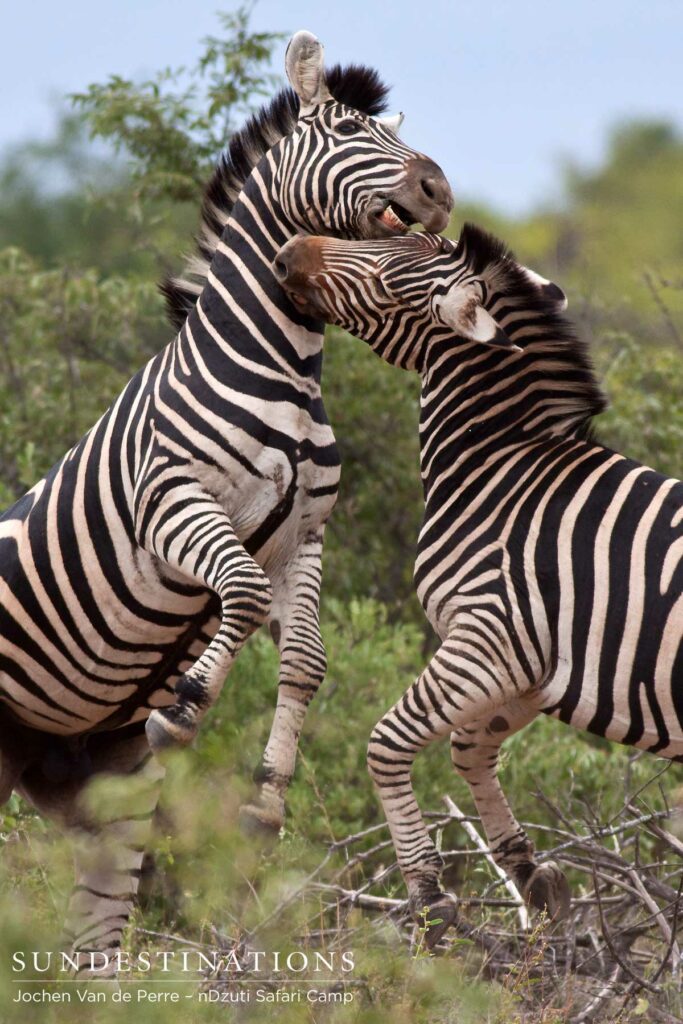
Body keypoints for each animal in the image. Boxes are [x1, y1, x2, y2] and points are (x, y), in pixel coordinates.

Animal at [0, 31, 452, 973]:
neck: (284, 366)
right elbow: (236, 596)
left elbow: (306, 659)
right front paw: (184, 707)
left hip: (91, 781)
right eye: (347, 129)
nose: (439, 190)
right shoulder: (173, 503)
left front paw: (266, 801)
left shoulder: (304, 537)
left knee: (94, 937)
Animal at [273, 225, 682, 945]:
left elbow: (386, 742)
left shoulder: (488, 636)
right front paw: (530, 873)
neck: (500, 470)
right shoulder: (533, 671)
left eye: (387, 278)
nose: (291, 249)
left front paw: (429, 894)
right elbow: (469, 748)